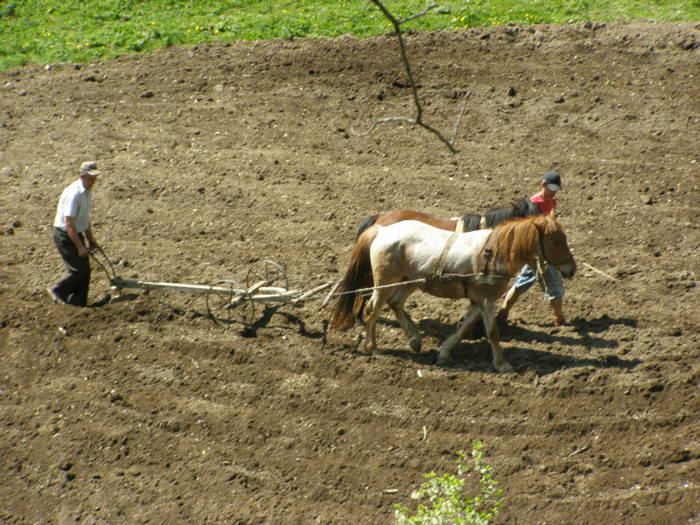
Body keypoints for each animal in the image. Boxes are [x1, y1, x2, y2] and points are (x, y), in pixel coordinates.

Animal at [330, 212, 576, 372]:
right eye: (555, 241)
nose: (571, 269)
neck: (494, 253)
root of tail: (382, 230)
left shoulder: (478, 301)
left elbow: (465, 328)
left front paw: (445, 352)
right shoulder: (486, 300)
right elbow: (493, 332)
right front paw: (502, 364)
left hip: (410, 281)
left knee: (396, 303)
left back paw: (414, 339)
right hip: (385, 282)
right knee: (372, 309)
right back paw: (372, 347)